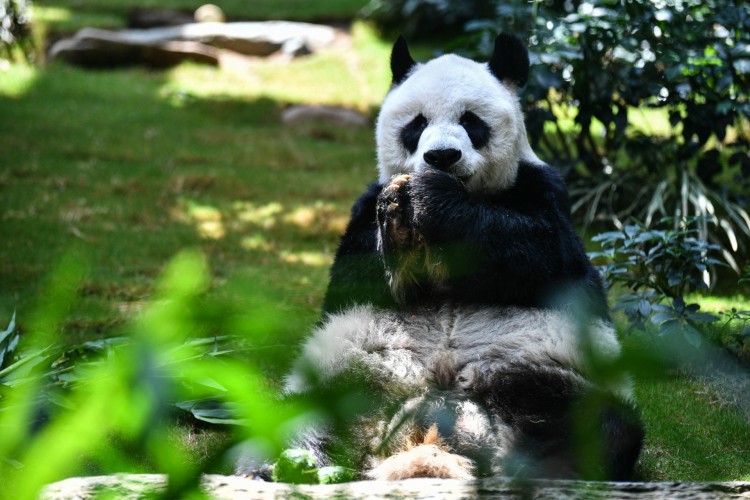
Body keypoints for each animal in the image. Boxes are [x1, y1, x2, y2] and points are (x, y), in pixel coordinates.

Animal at [276, 34, 648, 480]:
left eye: (472, 121)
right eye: (417, 124)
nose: (442, 157)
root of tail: (428, 434)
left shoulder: (544, 192)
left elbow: (538, 251)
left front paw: (432, 200)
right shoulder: (363, 210)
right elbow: (360, 273)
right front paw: (400, 224)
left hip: (543, 374)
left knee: (599, 428)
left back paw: (535, 470)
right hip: (348, 377)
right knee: (295, 419)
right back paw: (294, 464)